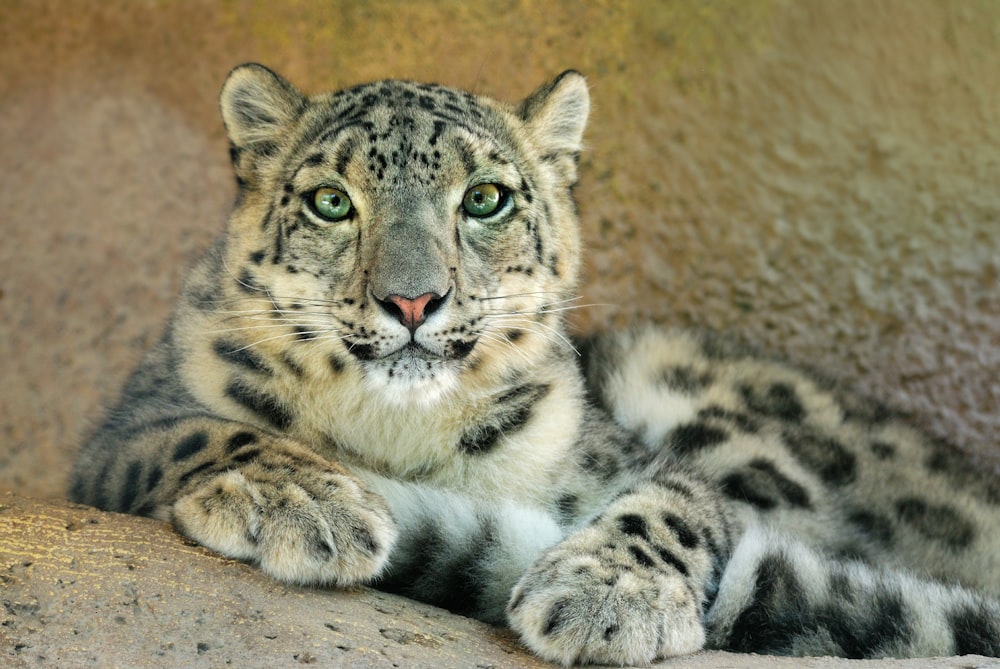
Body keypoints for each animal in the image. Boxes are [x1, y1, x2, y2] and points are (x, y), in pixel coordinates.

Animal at [70, 61, 1000, 664]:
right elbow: (200, 432)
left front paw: (607, 598)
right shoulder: (127, 425)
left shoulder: (634, 463)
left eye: (486, 197)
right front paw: (306, 504)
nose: (413, 300)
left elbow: (674, 503)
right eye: (332, 201)